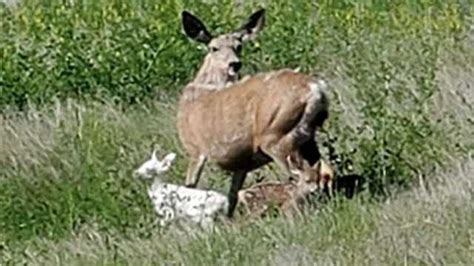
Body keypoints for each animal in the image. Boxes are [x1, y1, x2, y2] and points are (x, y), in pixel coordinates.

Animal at [178, 8, 330, 218]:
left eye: (238, 46)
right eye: (213, 48)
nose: (235, 64)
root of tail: (316, 89)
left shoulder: (196, 149)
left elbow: (190, 186)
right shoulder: (241, 161)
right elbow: (232, 196)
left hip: (276, 136)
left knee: (298, 176)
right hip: (308, 137)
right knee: (322, 169)